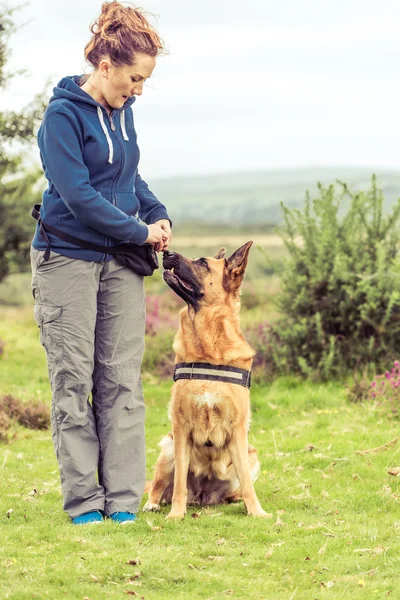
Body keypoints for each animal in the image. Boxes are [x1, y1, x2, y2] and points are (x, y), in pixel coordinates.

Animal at [142, 241, 268, 516]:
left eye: (202, 263)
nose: (166, 252)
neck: (209, 348)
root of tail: (203, 496)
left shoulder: (238, 429)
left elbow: (246, 481)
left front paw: (257, 512)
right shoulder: (180, 428)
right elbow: (178, 483)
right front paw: (176, 515)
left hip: (251, 454)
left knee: (239, 485)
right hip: (168, 448)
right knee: (158, 486)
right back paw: (153, 505)